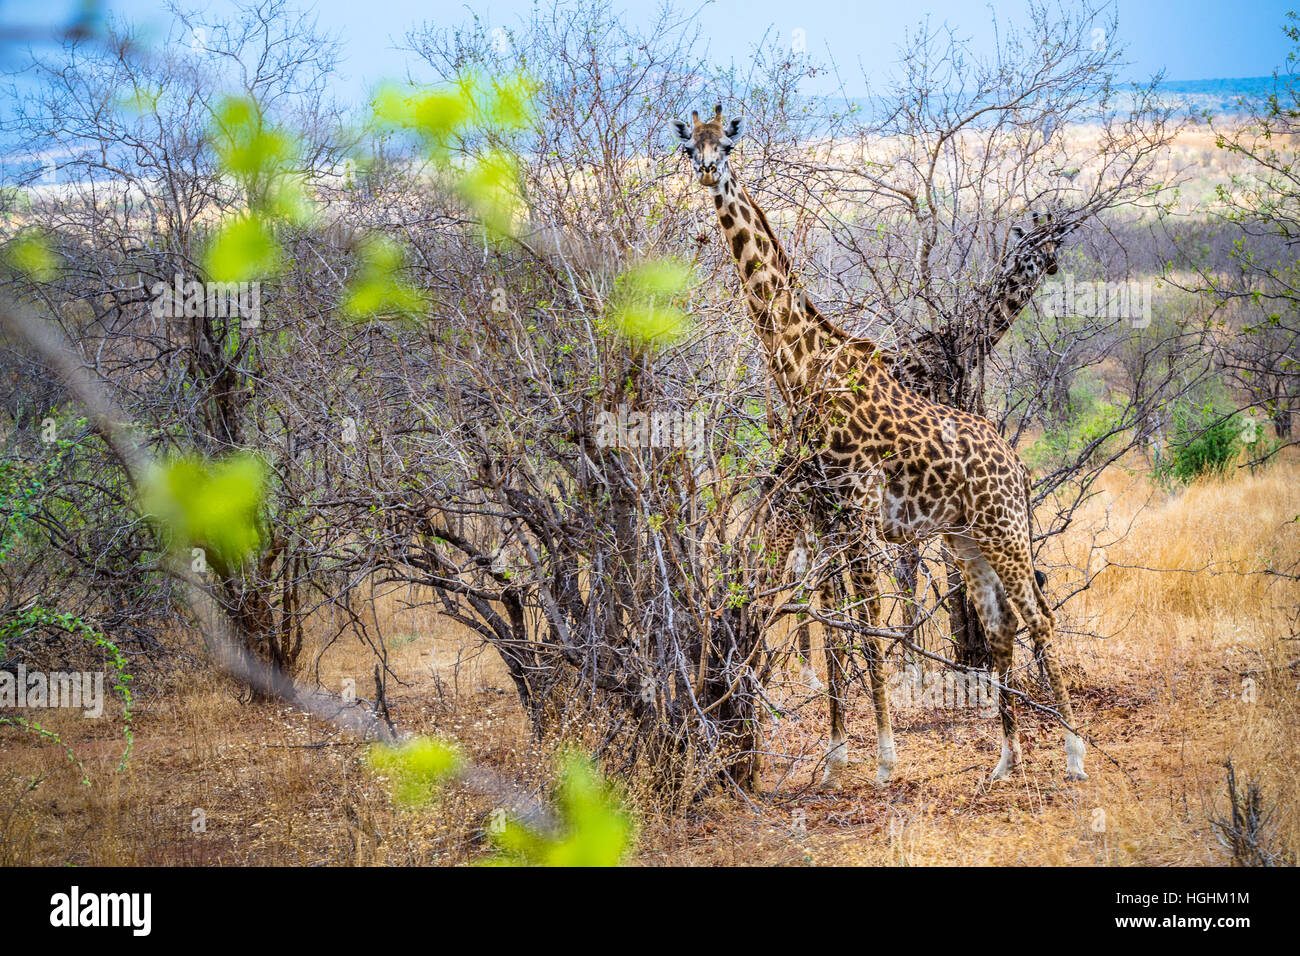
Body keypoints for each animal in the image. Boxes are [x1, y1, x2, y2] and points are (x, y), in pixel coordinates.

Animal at [670, 108, 1086, 790]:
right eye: (689, 145)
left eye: (726, 141)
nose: (708, 172)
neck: (803, 367)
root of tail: (1018, 465)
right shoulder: (830, 518)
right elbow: (843, 631)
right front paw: (838, 755)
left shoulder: (861, 514)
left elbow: (865, 627)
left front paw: (885, 757)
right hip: (966, 538)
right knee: (999, 626)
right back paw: (1005, 760)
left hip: (1003, 530)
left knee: (1040, 617)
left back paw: (1074, 754)